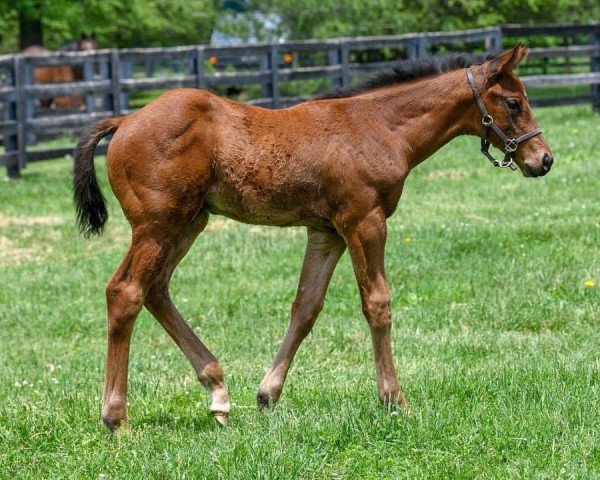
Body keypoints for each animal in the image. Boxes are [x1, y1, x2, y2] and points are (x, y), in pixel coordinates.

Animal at [74, 45, 552, 434]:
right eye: (514, 102)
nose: (543, 160)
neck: (380, 126)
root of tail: (125, 119)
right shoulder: (365, 221)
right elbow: (377, 304)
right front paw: (394, 400)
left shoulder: (326, 232)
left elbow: (306, 307)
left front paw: (267, 395)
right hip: (157, 225)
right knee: (125, 292)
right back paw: (116, 418)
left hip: (190, 222)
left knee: (155, 289)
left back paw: (218, 392)